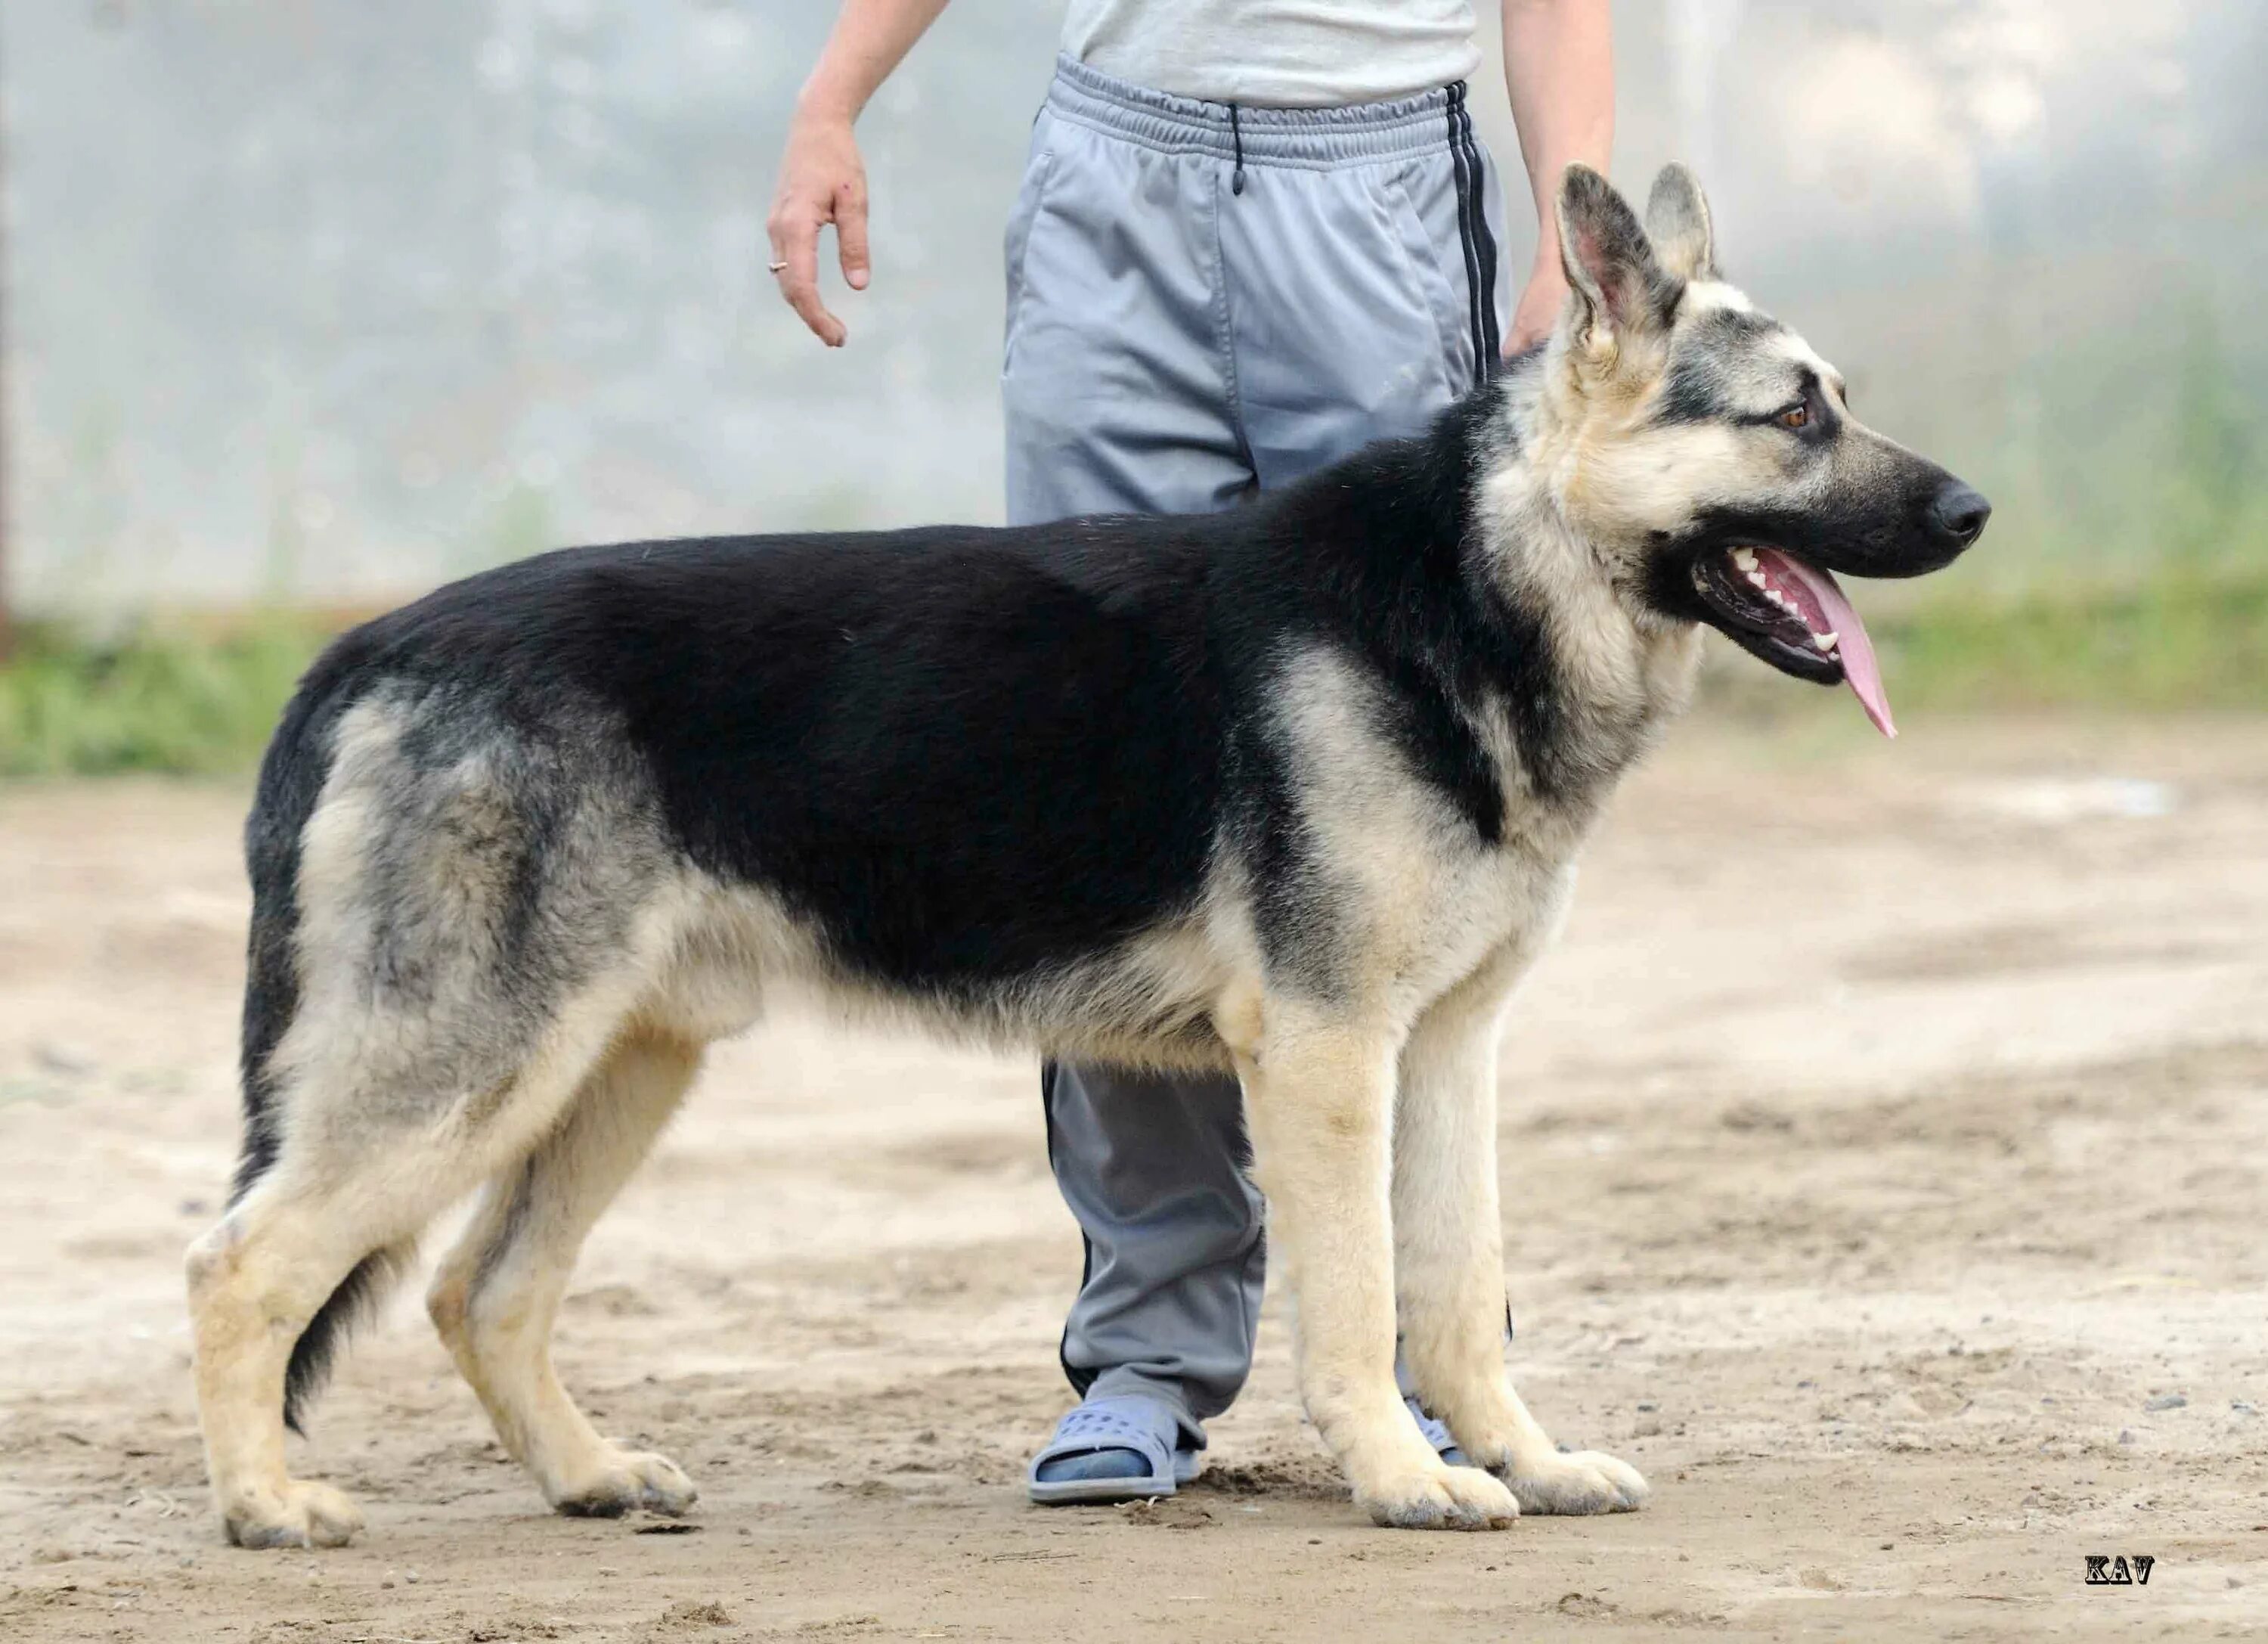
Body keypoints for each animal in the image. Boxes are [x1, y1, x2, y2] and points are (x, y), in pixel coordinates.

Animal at [191, 166, 1987, 1542]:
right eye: (1795, 416)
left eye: (1838, 402)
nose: (1973, 513)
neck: (1479, 581)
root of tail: (365, 647)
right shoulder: (1328, 1055)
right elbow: (1357, 1298)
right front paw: (1405, 1480)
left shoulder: (1448, 1052)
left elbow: (1459, 1288)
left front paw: (1523, 1463)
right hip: (471, 1071)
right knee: (241, 1263)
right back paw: (267, 1506)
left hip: (613, 1066)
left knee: (478, 1292)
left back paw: (587, 1477)